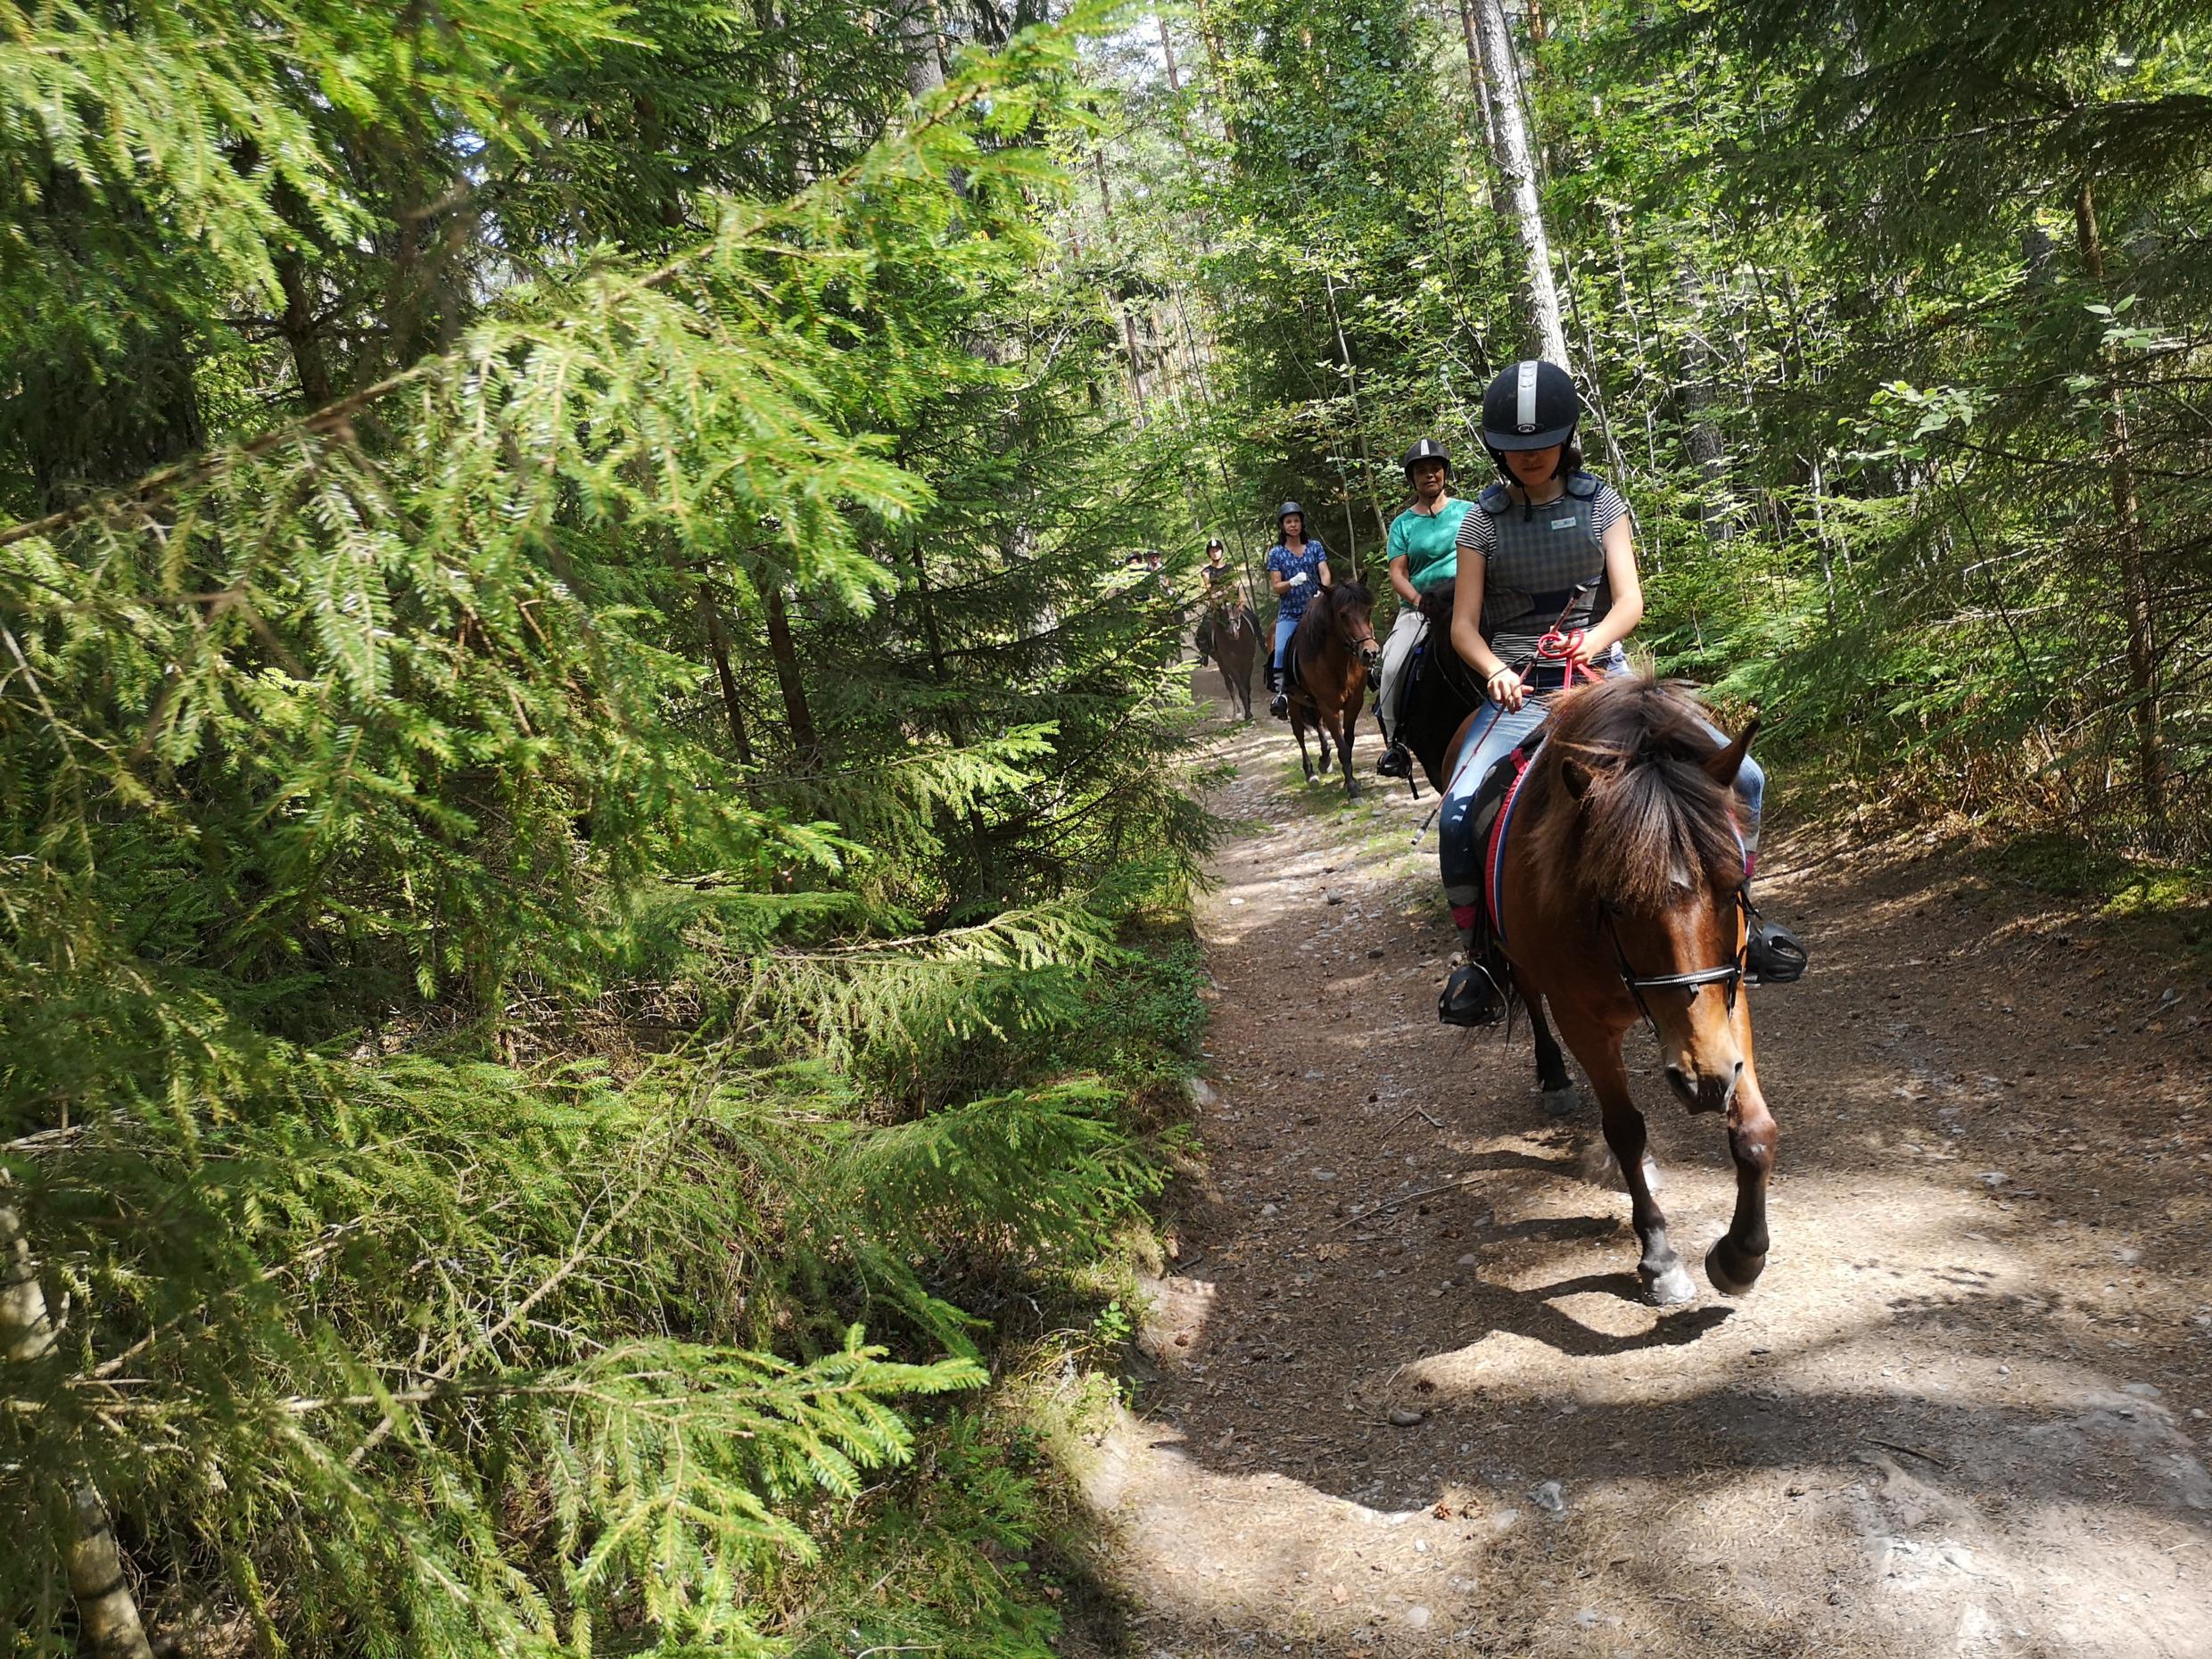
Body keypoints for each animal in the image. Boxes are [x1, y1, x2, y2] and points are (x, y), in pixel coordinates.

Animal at [1286, 579, 1380, 797]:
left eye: (1368, 610)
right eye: (1343, 615)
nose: (1370, 653)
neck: (1339, 662)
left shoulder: (1354, 703)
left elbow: (1349, 741)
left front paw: (1348, 780)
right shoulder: (1329, 707)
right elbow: (1342, 746)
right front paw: (1352, 788)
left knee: (1318, 726)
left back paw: (1325, 759)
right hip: (1294, 703)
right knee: (1299, 733)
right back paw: (1310, 773)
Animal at [1483, 674, 1774, 1306]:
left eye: (1732, 886)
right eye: (1615, 903)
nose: (1702, 1081)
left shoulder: (1729, 996)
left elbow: (1755, 1130)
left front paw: (1741, 1256)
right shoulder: (1583, 1020)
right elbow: (1624, 1129)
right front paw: (1660, 1257)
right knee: (1530, 997)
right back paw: (1554, 1077)